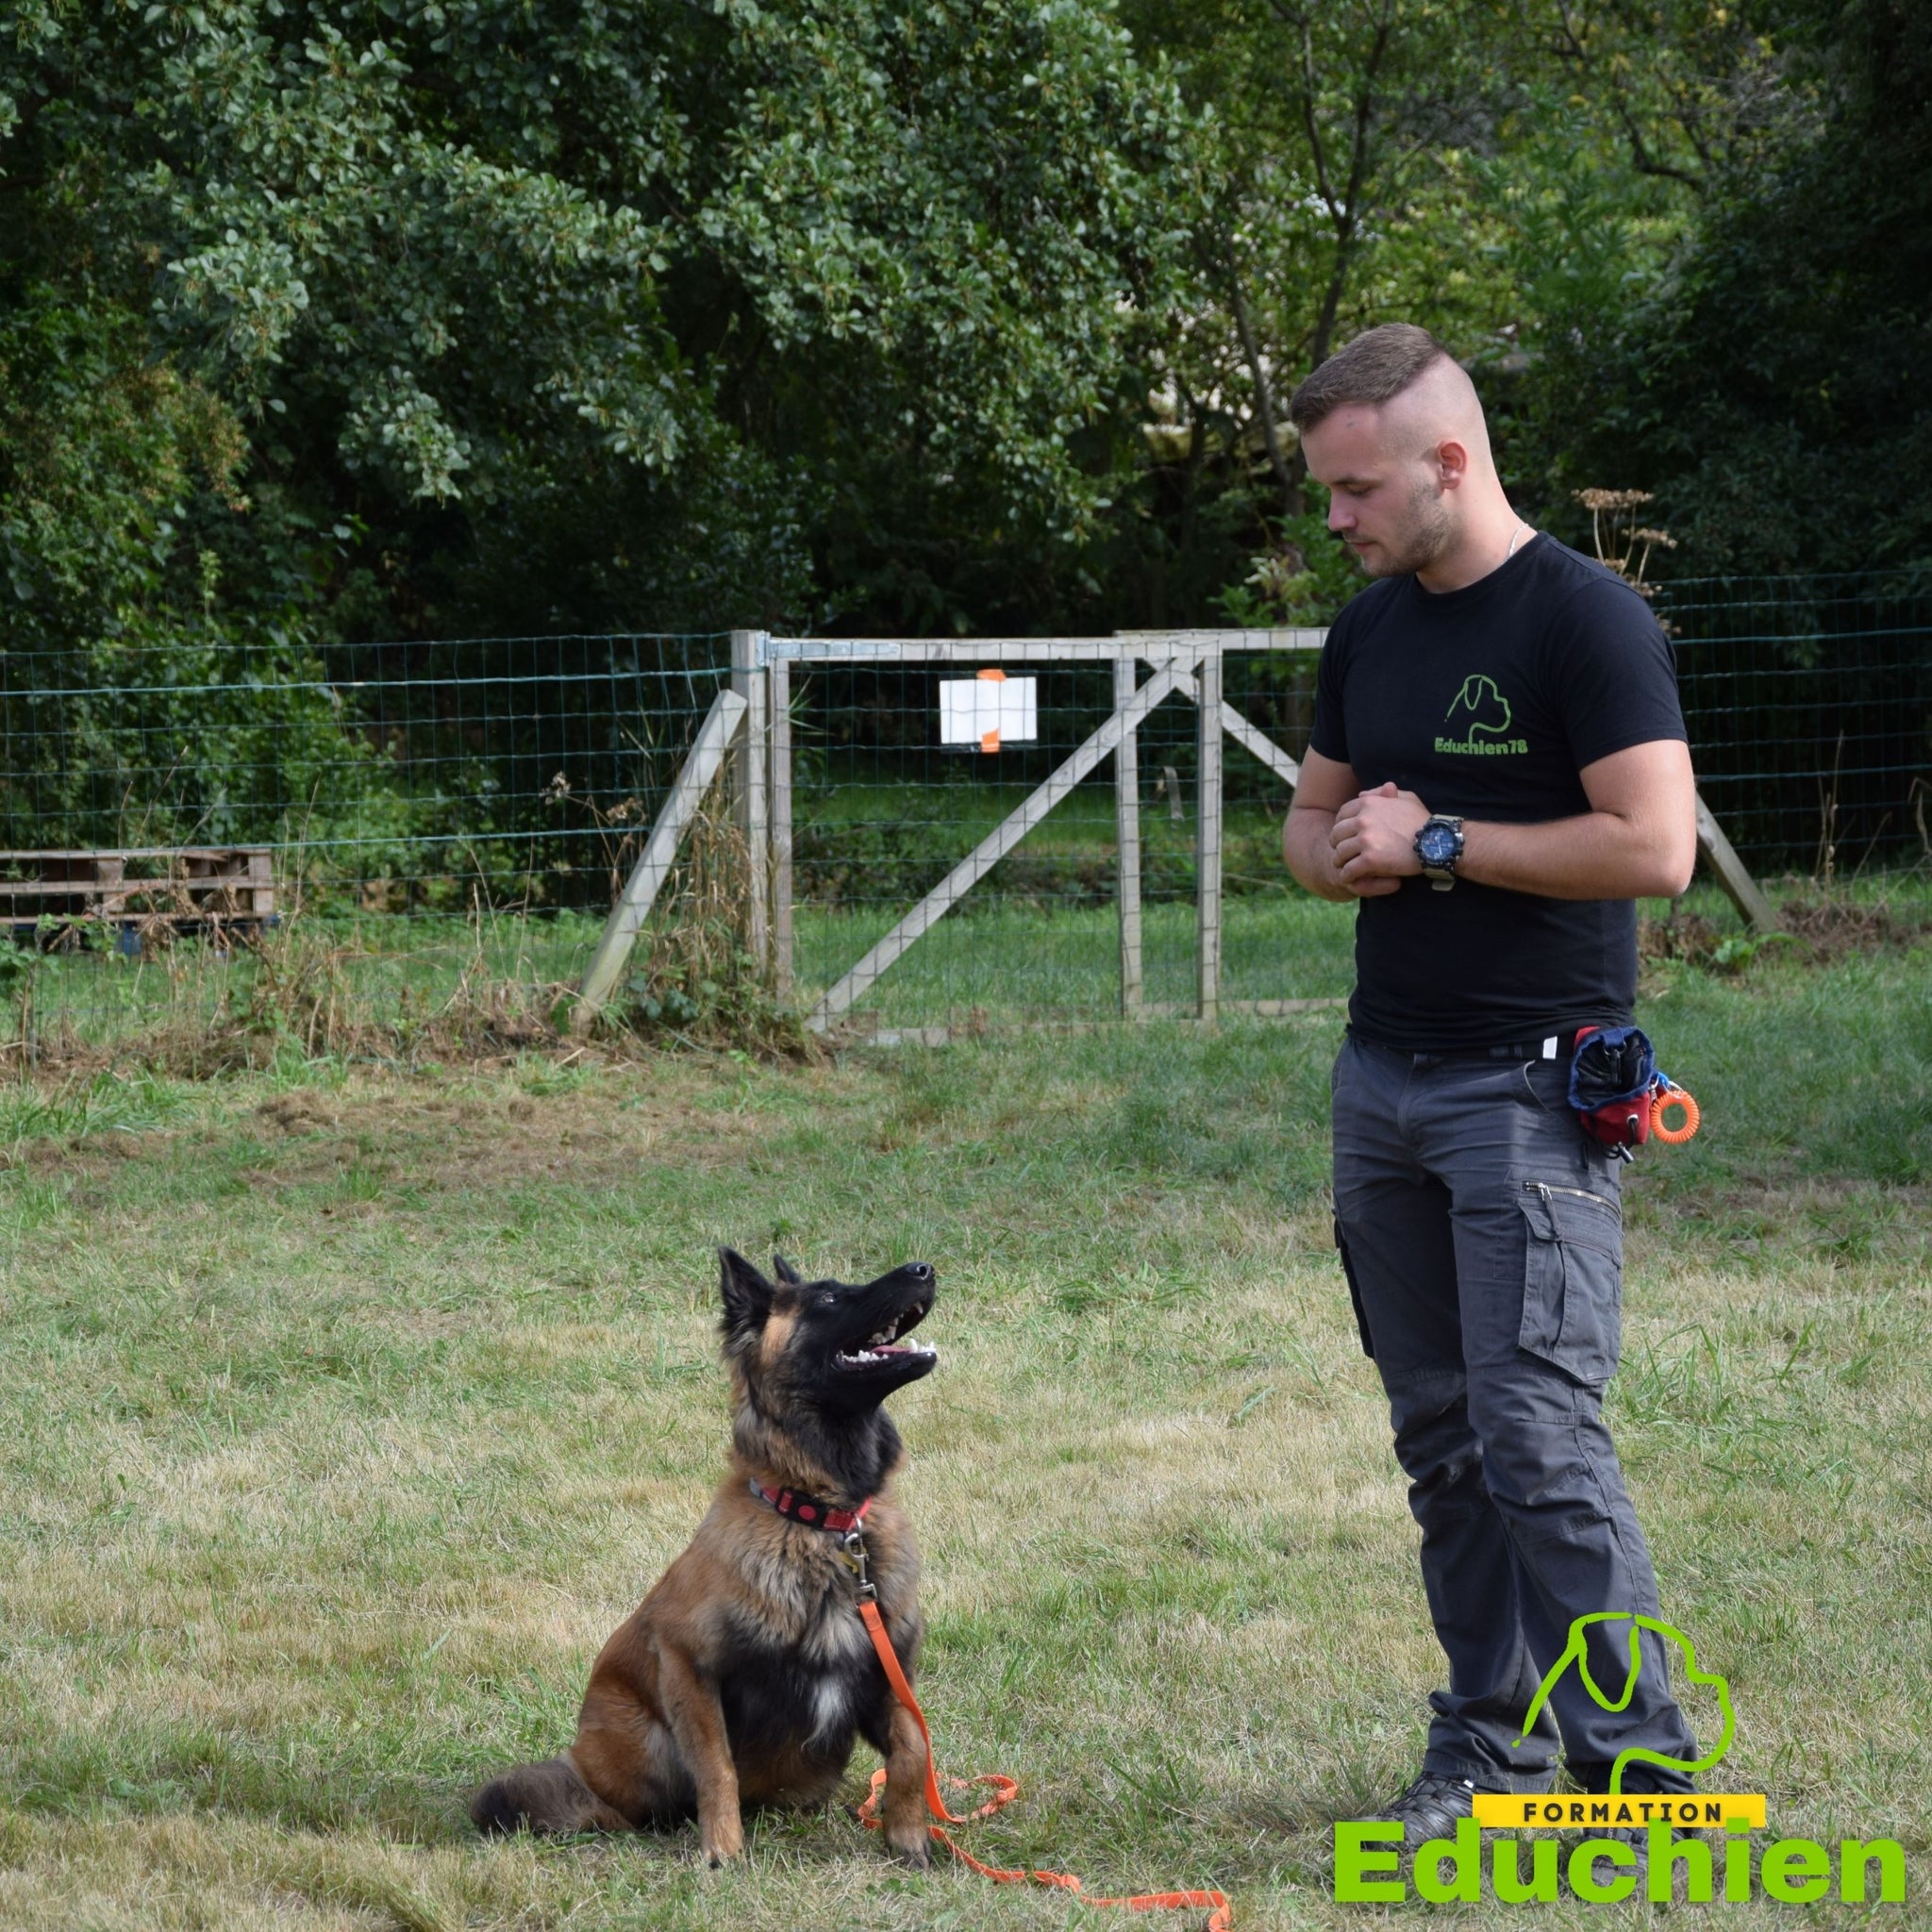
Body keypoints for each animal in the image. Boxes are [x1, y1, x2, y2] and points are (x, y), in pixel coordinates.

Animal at [470, 1249, 939, 1866]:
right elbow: (718, 1768)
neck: (820, 1521)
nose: (924, 1269)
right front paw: (723, 1851)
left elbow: (913, 1749)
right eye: (828, 1298)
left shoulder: (890, 1673)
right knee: (619, 1810)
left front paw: (908, 1837)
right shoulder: (686, 1662)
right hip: (646, 1742)